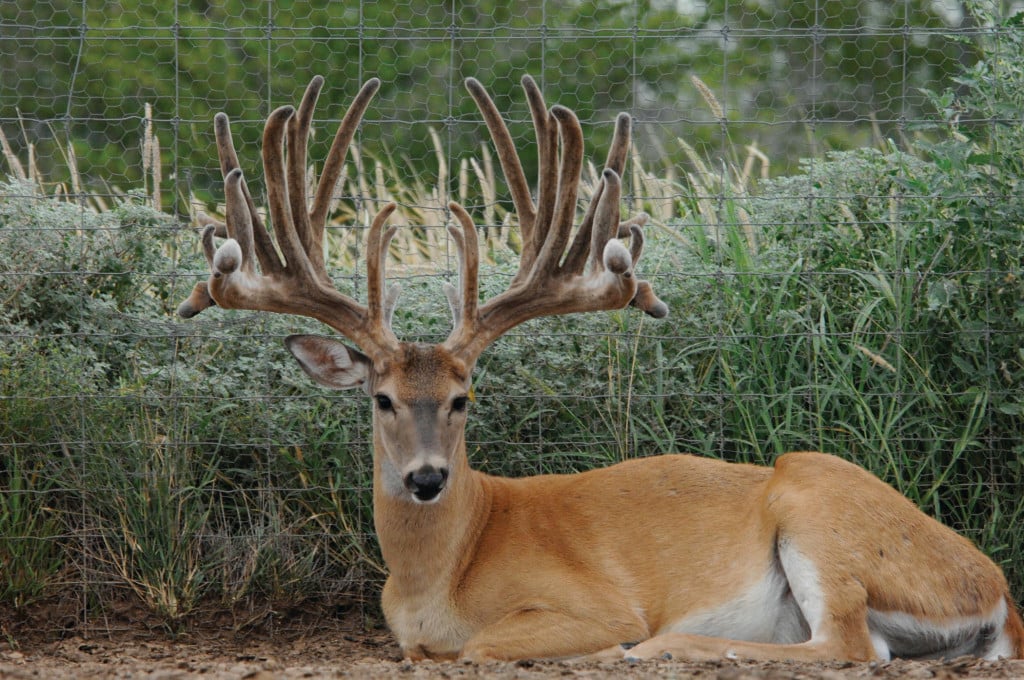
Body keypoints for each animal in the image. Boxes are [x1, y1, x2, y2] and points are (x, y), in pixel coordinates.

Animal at [178, 75, 1024, 663]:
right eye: (382, 398)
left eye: (464, 397)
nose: (425, 478)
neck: (439, 575)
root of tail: (998, 590)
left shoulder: (590, 602)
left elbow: (481, 646)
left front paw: (608, 645)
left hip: (822, 515)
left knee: (849, 646)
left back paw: (664, 649)